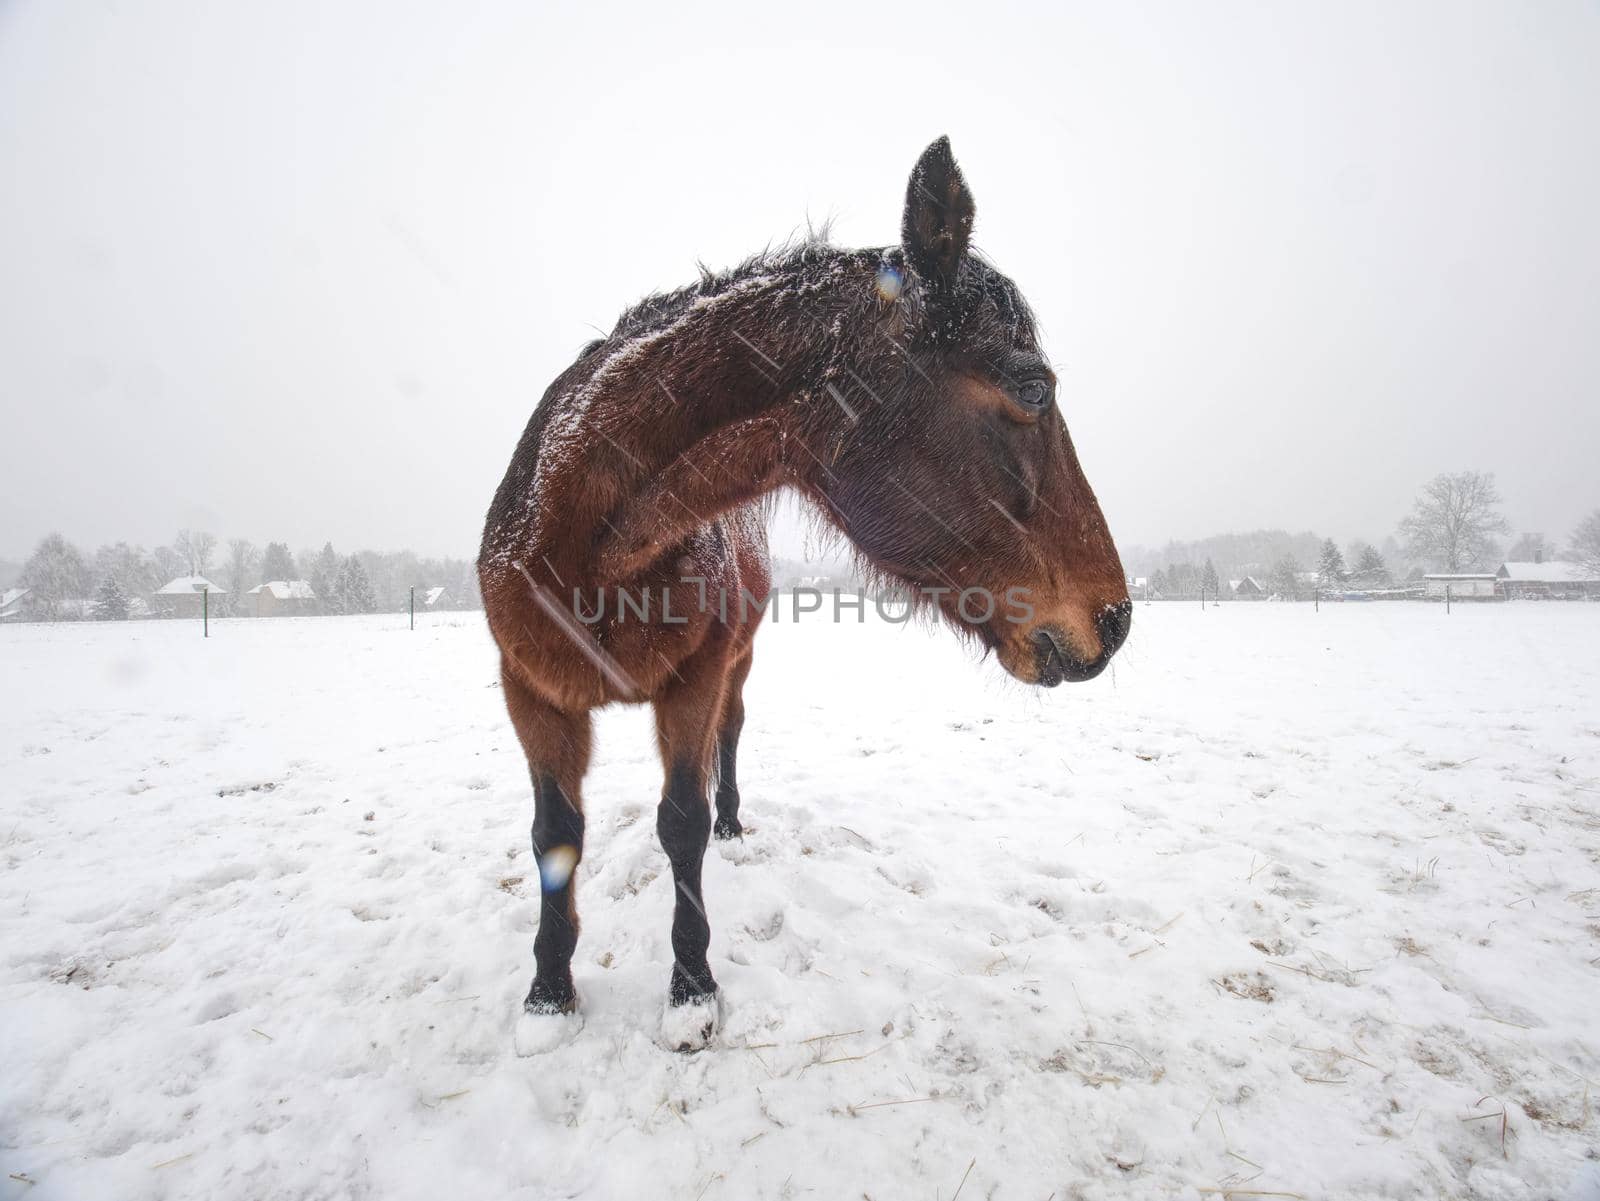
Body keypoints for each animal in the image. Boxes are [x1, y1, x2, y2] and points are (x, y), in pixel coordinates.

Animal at [480, 133, 1132, 1049]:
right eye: (1032, 385)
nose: (1115, 616)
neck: (588, 550)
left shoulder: (693, 681)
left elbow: (680, 821)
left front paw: (690, 988)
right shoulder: (531, 691)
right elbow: (555, 837)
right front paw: (547, 994)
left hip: (737, 661)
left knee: (730, 737)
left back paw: (732, 820)